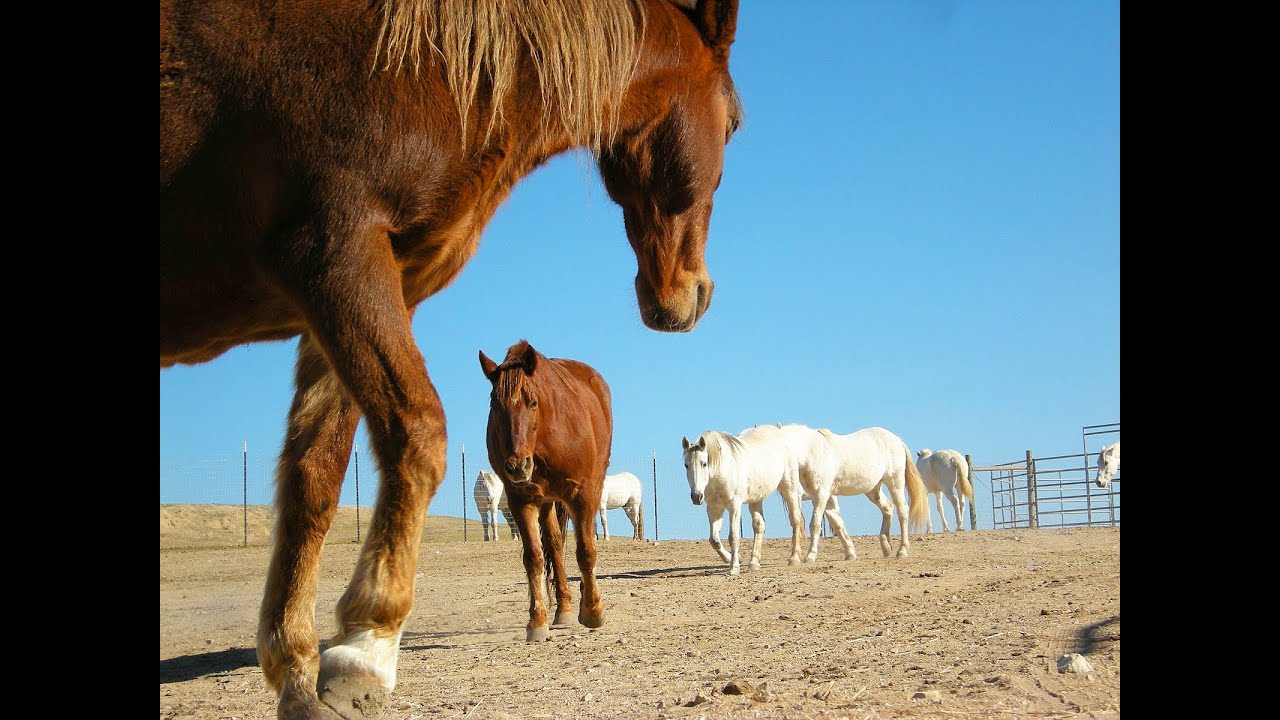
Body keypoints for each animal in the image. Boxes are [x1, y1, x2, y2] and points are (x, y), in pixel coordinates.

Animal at [481, 340, 613, 643]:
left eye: (532, 402)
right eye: (494, 404)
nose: (517, 466)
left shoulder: (582, 494)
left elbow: (585, 550)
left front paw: (593, 610)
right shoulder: (522, 500)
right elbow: (534, 557)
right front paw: (536, 620)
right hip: (546, 501)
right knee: (554, 544)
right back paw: (563, 608)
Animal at [681, 425, 807, 575]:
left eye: (704, 463)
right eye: (686, 465)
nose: (696, 496)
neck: (723, 470)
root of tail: (780, 431)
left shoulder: (734, 506)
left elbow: (734, 537)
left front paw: (734, 568)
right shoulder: (714, 508)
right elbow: (714, 539)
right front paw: (733, 559)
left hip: (789, 489)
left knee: (796, 520)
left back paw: (794, 558)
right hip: (756, 499)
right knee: (759, 525)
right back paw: (754, 563)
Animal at [802, 427, 930, 561]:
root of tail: (897, 440)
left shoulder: (821, 494)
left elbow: (814, 523)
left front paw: (809, 556)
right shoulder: (824, 497)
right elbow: (836, 522)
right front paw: (850, 554)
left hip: (895, 482)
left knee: (903, 511)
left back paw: (902, 551)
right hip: (873, 489)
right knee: (887, 507)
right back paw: (886, 547)